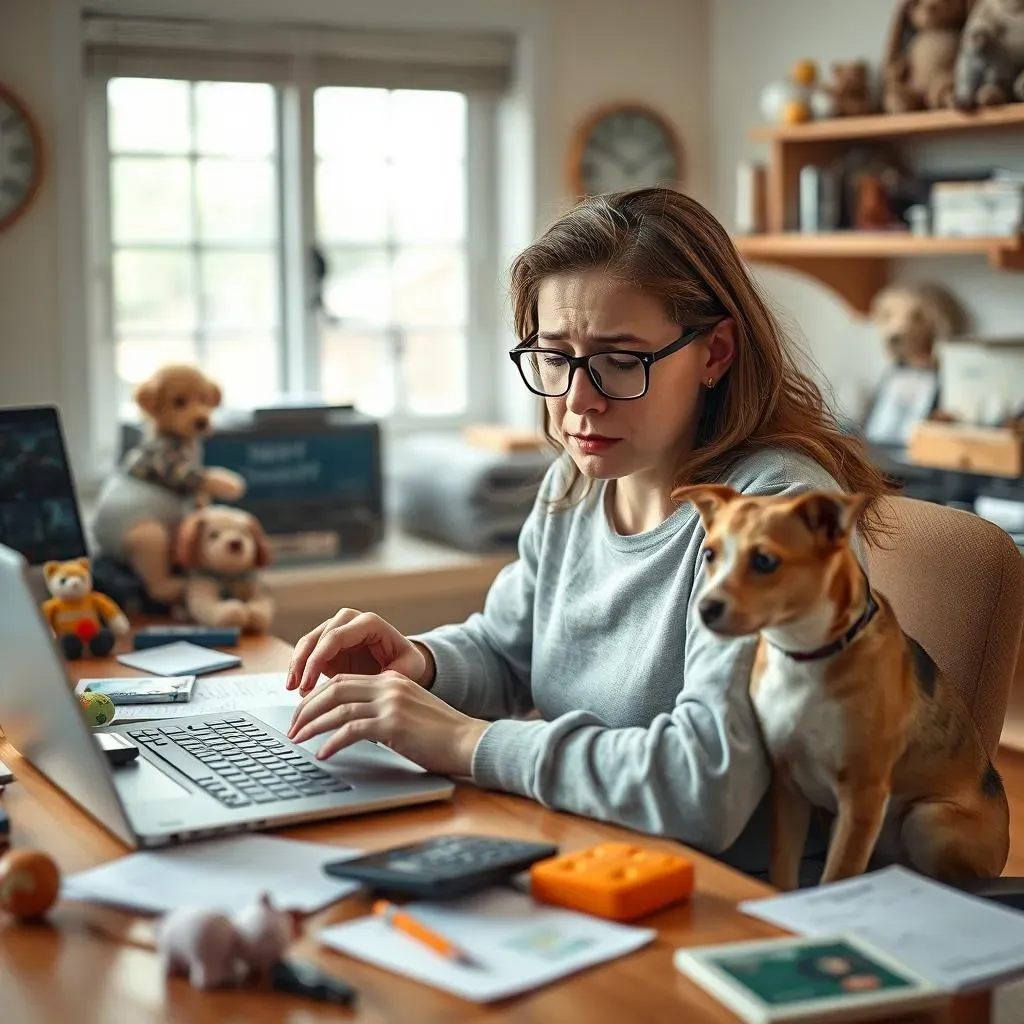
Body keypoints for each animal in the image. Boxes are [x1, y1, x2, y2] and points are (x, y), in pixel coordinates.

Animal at [675, 483, 1003, 892]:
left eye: (765, 561)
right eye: (710, 554)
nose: (705, 609)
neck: (804, 656)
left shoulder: (862, 797)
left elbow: (837, 875)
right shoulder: (788, 788)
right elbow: (783, 870)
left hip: (928, 821)